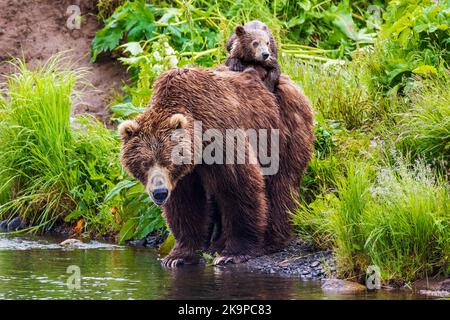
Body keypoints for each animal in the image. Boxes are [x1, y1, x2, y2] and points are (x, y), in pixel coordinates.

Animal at [118, 66, 312, 266]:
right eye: (145, 163)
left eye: (168, 161)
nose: (159, 192)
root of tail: (292, 83)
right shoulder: (184, 174)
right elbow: (186, 202)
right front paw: (177, 256)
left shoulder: (220, 136)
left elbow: (239, 186)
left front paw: (233, 253)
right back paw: (217, 244)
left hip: (282, 131)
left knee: (280, 185)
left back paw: (270, 241)